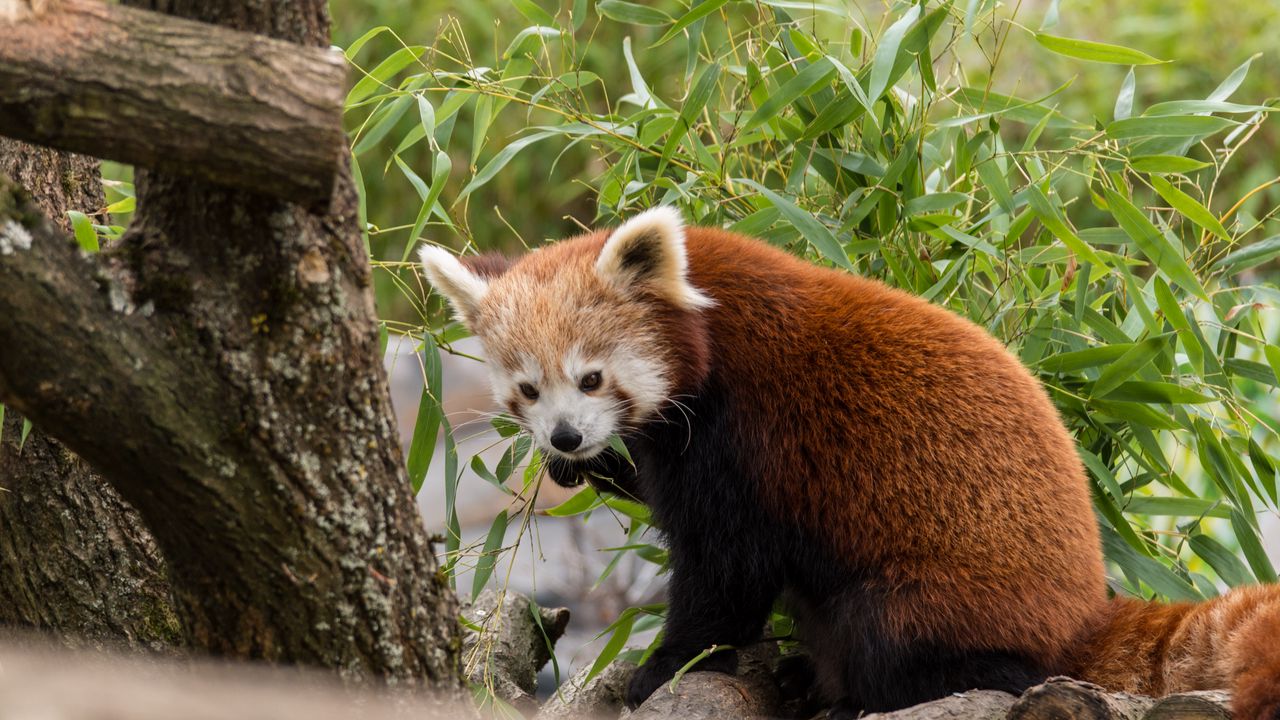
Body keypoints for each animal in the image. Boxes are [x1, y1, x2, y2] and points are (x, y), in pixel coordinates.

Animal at [424, 204, 1280, 712]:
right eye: (528, 391)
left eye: (592, 377)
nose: (566, 437)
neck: (706, 322)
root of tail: (1083, 608)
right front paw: (594, 469)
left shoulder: (745, 437)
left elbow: (728, 571)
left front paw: (662, 668)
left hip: (938, 591)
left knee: (891, 636)